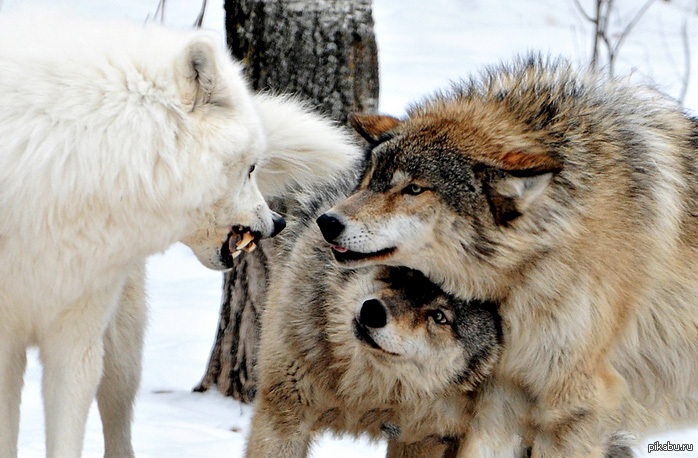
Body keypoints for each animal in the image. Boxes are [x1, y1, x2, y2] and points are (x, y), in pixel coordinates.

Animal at [245, 174, 500, 454]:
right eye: (399, 274)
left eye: (439, 316)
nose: (372, 311)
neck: (366, 392)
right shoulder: (284, 411)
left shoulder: (424, 437)